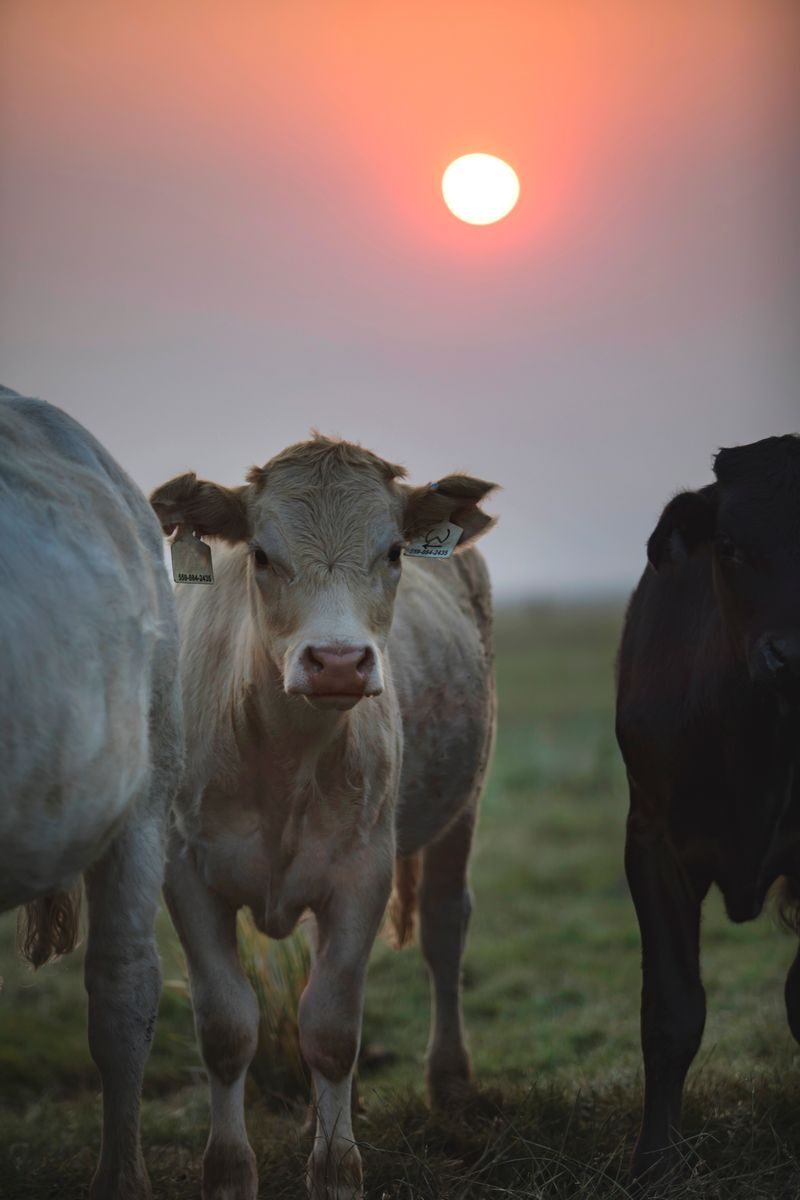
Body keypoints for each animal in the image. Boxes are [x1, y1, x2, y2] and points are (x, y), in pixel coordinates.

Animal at [149, 436, 498, 1200]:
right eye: (261, 554)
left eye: (394, 551)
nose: (337, 662)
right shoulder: (186, 873)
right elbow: (228, 1028)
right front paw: (229, 1172)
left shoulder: (362, 873)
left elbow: (333, 1030)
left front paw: (337, 1169)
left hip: (463, 804)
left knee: (444, 929)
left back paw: (452, 1083)